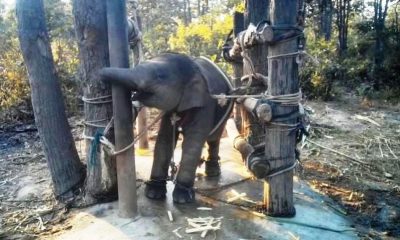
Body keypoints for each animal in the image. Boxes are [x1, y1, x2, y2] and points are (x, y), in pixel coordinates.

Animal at [98, 52, 233, 202]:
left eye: (160, 76)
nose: (100, 76)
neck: (193, 69)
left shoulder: (205, 104)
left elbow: (193, 143)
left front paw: (182, 197)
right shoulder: (170, 110)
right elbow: (165, 140)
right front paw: (153, 192)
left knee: (214, 138)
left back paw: (212, 172)